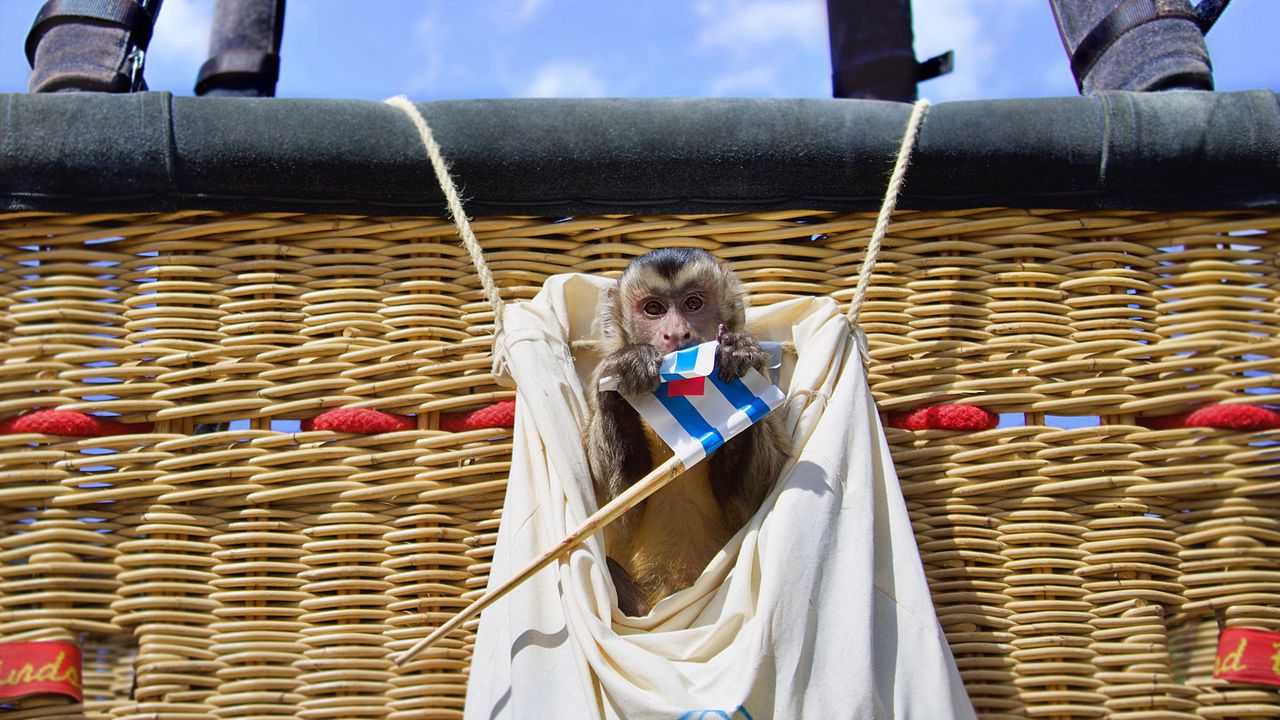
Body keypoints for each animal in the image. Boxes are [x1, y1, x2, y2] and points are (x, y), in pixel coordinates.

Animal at [585, 248, 791, 616]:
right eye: (654, 309)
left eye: (693, 303)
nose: (677, 334)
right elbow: (615, 512)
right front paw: (625, 367)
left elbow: (750, 507)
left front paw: (737, 354)